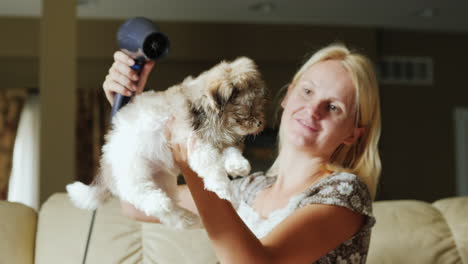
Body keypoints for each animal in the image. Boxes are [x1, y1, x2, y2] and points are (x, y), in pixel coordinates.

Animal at [67, 57, 268, 229]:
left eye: (260, 106)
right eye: (247, 112)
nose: (260, 123)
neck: (204, 112)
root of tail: (106, 164)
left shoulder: (219, 140)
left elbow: (231, 151)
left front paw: (238, 165)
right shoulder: (196, 143)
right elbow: (211, 166)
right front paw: (223, 188)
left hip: (162, 179)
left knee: (168, 214)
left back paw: (188, 219)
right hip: (132, 168)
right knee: (137, 190)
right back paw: (160, 202)